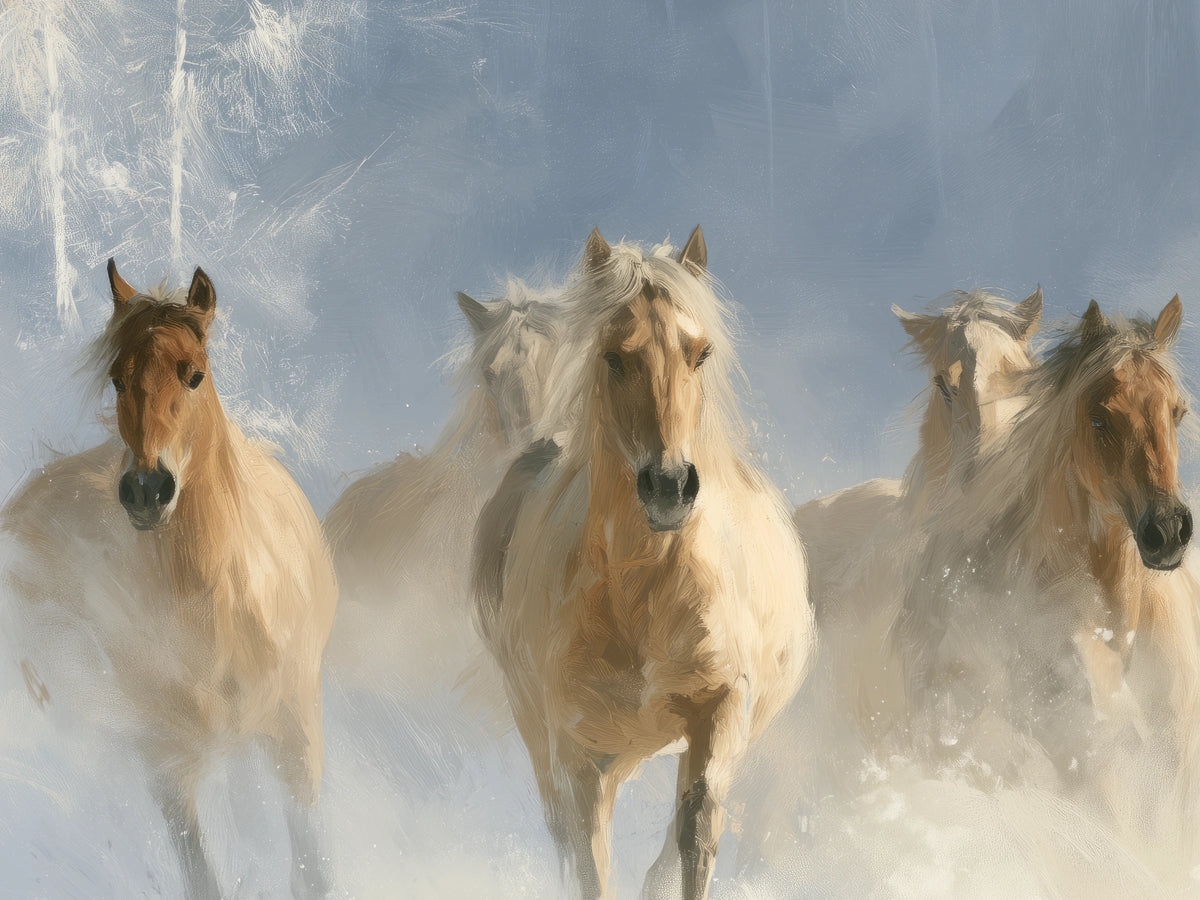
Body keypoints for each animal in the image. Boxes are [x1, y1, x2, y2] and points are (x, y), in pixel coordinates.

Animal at [0, 262, 338, 899]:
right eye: (116, 379)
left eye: (195, 375)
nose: (146, 489)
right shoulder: (167, 766)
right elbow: (202, 879)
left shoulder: (298, 738)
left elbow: (314, 871)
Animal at [472, 227, 813, 900]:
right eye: (613, 357)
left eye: (700, 354)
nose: (670, 487)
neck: (646, 590)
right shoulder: (578, 749)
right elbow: (590, 863)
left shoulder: (722, 711)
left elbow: (697, 835)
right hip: (545, 730)